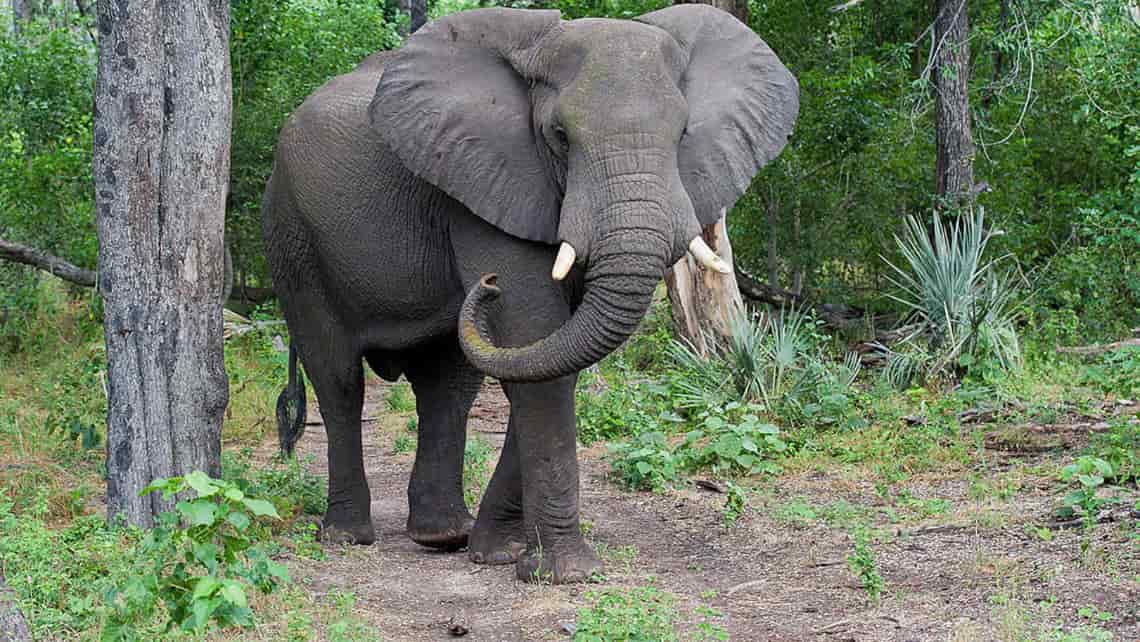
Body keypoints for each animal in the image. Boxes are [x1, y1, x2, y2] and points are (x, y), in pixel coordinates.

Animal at [261, 3, 798, 583]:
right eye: (559, 136)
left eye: (681, 135)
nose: (485, 285)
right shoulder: (488, 177)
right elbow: (534, 334)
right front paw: (565, 574)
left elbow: (547, 351)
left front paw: (500, 553)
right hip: (290, 234)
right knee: (338, 378)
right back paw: (347, 537)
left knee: (448, 385)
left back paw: (444, 536)